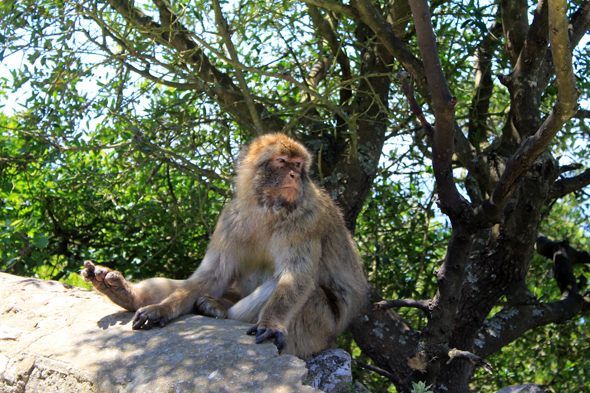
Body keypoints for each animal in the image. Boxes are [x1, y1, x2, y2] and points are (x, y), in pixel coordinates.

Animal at [81, 132, 368, 358]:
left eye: (298, 164)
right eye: (282, 161)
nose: (295, 175)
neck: (267, 209)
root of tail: (332, 339)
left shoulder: (306, 220)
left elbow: (296, 277)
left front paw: (272, 323)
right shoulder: (229, 219)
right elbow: (212, 274)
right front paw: (160, 308)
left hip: (316, 331)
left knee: (302, 291)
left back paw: (220, 310)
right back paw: (125, 293)